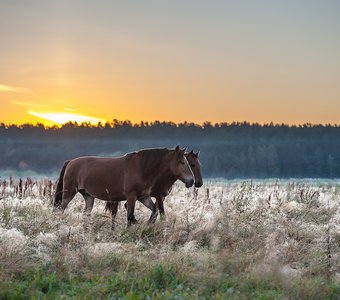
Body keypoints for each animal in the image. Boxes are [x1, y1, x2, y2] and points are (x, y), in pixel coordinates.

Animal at [53, 146, 194, 226]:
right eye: (182, 162)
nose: (191, 181)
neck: (142, 168)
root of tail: (70, 162)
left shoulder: (143, 197)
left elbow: (154, 211)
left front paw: (148, 225)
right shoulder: (131, 197)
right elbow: (130, 216)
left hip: (88, 196)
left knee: (85, 214)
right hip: (69, 193)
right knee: (60, 209)